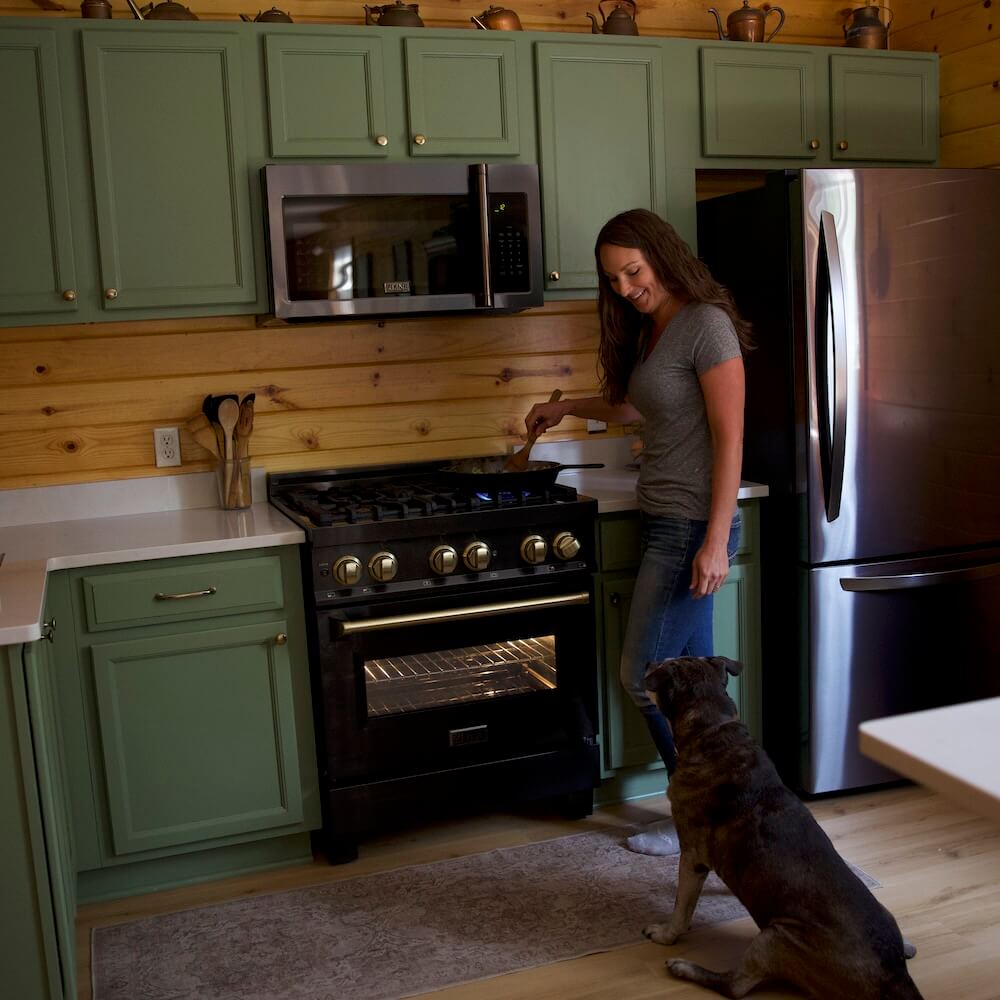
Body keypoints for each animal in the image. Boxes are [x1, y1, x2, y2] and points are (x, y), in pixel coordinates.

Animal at [640, 656, 920, 1000]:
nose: (648, 662)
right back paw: (906, 946)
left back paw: (684, 967)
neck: (712, 730)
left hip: (774, 937)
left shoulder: (692, 856)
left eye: (662, 665)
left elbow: (681, 907)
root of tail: (892, 976)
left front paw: (665, 934)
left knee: (735, 985)